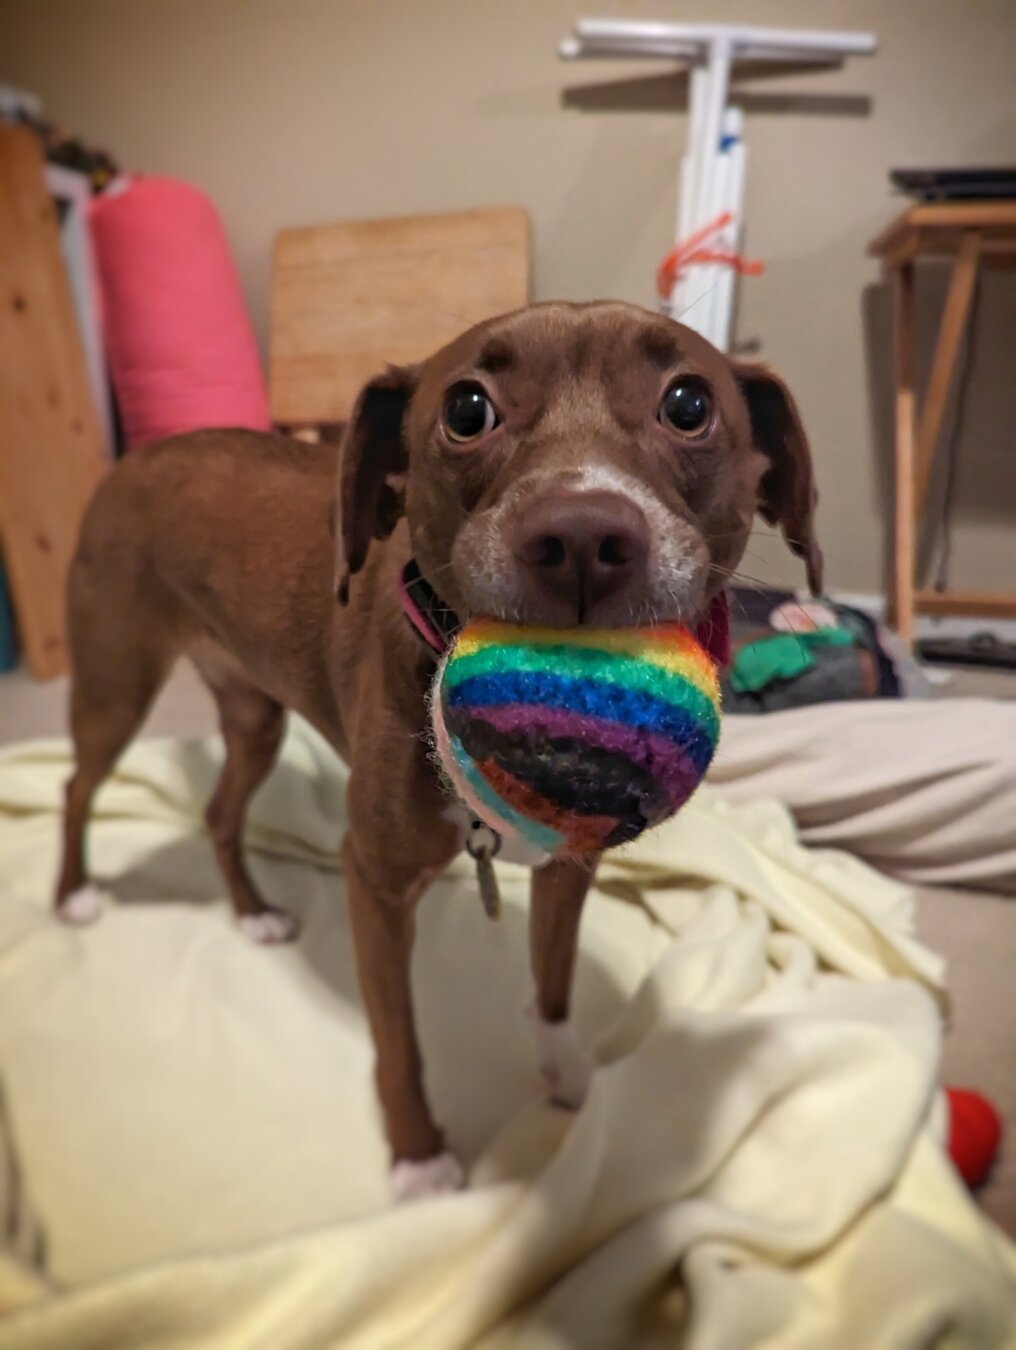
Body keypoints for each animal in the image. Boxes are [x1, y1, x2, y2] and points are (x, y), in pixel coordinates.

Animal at [55, 301, 820, 1198]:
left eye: (690, 404)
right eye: (467, 409)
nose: (582, 535)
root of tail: (131, 462)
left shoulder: (570, 869)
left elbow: (553, 981)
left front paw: (564, 1073)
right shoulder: (375, 884)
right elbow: (400, 1041)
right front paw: (417, 1154)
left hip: (253, 718)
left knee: (217, 812)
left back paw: (250, 913)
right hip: (117, 685)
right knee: (77, 786)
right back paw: (73, 895)